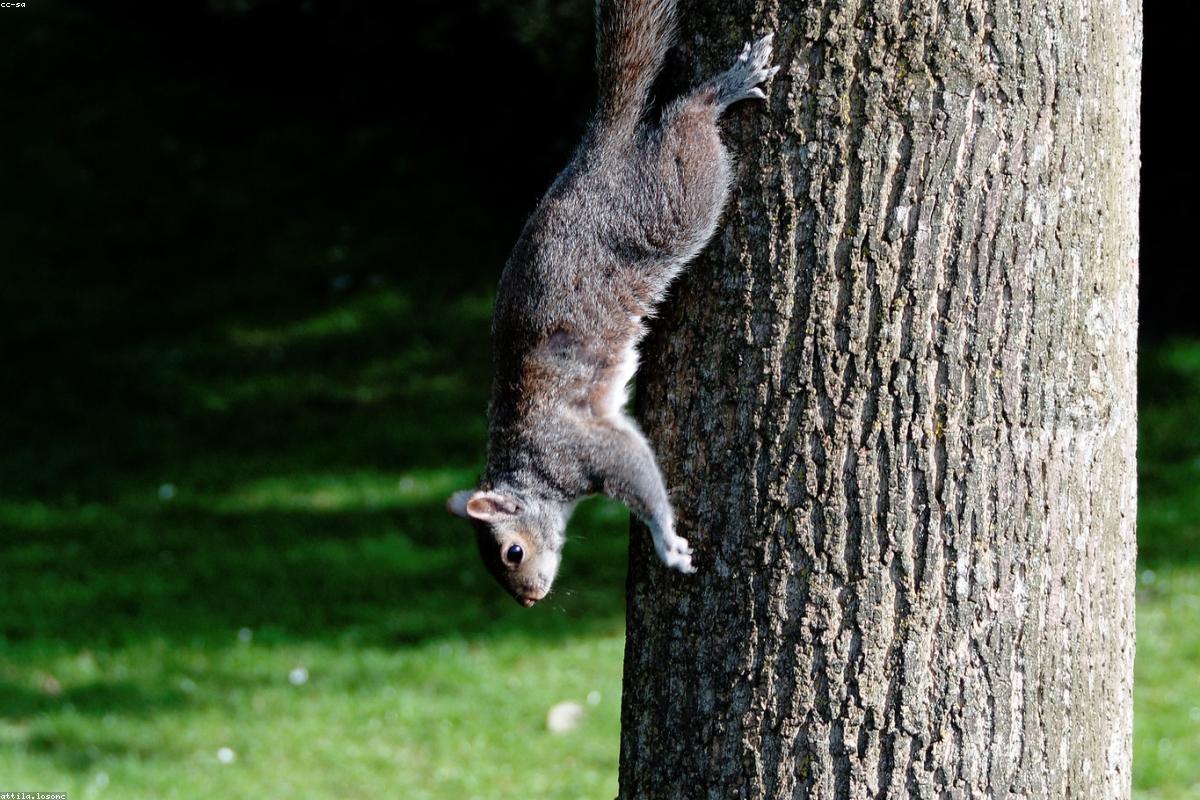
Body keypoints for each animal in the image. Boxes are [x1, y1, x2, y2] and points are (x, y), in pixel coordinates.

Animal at [448, 0, 778, 607]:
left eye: (512, 552)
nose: (529, 600)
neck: (528, 466)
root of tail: (599, 149)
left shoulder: (581, 449)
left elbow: (638, 473)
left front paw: (667, 543)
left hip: (674, 199)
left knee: (688, 120)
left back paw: (725, 87)